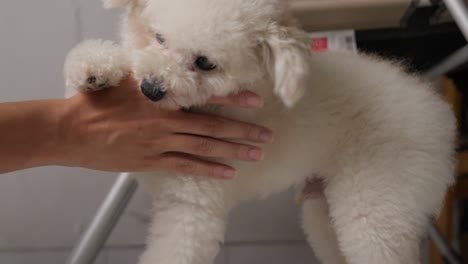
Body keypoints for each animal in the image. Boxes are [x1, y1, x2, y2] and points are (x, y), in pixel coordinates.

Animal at [65, 0, 458, 264]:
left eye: (205, 63)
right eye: (158, 37)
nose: (151, 89)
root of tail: (434, 110)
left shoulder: (190, 209)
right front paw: (94, 67)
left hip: (376, 208)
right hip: (326, 212)